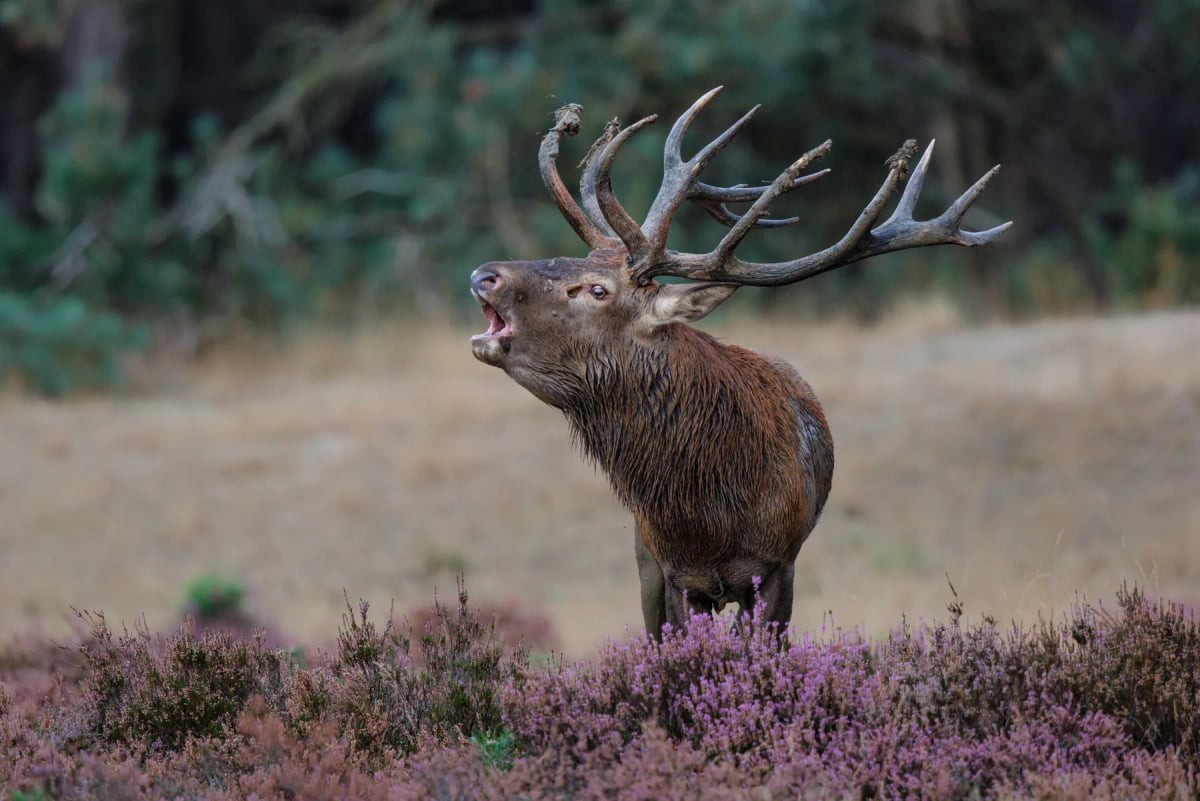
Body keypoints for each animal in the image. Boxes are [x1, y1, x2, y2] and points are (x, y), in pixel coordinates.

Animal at [469, 87, 1010, 639]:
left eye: (598, 290)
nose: (484, 274)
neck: (711, 517)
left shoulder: (778, 565)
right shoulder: (672, 572)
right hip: (643, 558)